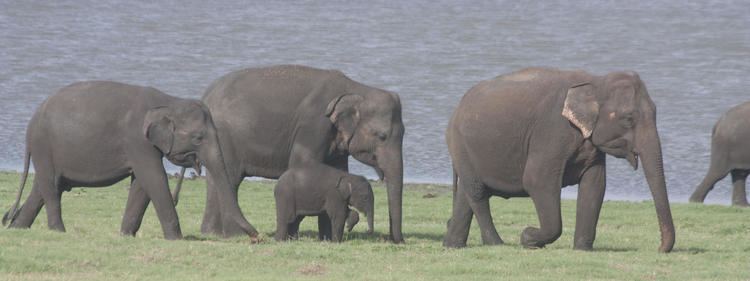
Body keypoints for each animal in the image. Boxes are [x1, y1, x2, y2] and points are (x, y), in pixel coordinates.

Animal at [0, 80, 258, 238]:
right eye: (198, 138)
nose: (256, 236)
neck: (169, 101)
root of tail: (32, 120)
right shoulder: (137, 140)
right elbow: (154, 178)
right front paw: (177, 239)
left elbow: (141, 185)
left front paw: (125, 235)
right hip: (44, 146)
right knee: (51, 187)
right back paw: (58, 231)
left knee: (43, 187)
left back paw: (17, 228)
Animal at [172, 65, 406, 241]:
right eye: (382, 136)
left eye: (404, 132)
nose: (397, 241)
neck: (355, 88)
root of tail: (205, 96)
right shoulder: (313, 125)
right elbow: (304, 163)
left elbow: (337, 170)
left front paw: (327, 238)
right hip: (223, 137)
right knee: (229, 179)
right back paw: (231, 234)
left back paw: (213, 233)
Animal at [444, 67, 680, 252]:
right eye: (629, 118)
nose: (659, 248)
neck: (595, 81)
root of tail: (456, 108)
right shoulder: (551, 131)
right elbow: (537, 180)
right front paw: (528, 237)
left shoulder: (590, 145)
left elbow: (595, 185)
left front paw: (582, 249)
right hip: (461, 144)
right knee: (478, 194)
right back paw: (496, 244)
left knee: (466, 194)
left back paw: (453, 245)